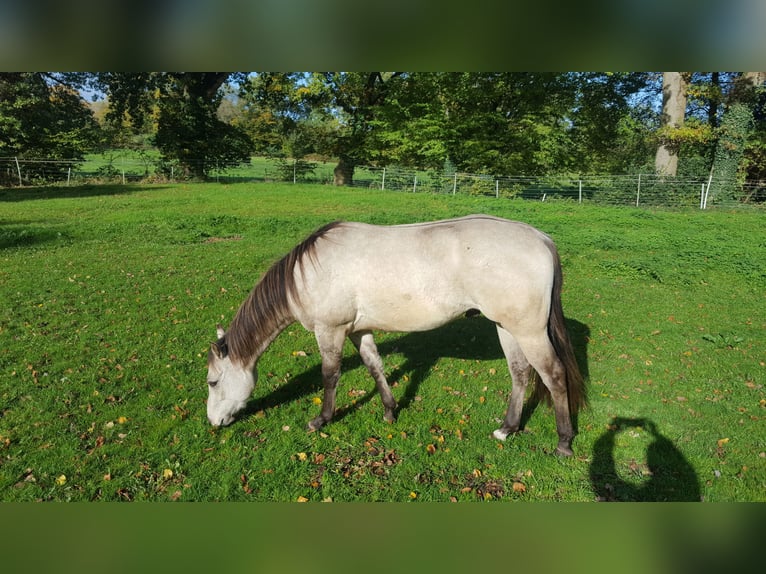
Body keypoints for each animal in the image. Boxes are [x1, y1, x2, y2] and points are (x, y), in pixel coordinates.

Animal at [206, 214, 588, 456]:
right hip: (507, 327)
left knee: (553, 376)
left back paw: (564, 443)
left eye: (212, 382)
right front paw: (390, 411)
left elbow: (330, 375)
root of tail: (540, 239)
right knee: (520, 374)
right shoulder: (359, 330)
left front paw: (322, 420)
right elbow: (375, 366)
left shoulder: (330, 330)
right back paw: (507, 428)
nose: (213, 422)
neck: (307, 274)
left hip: (530, 332)